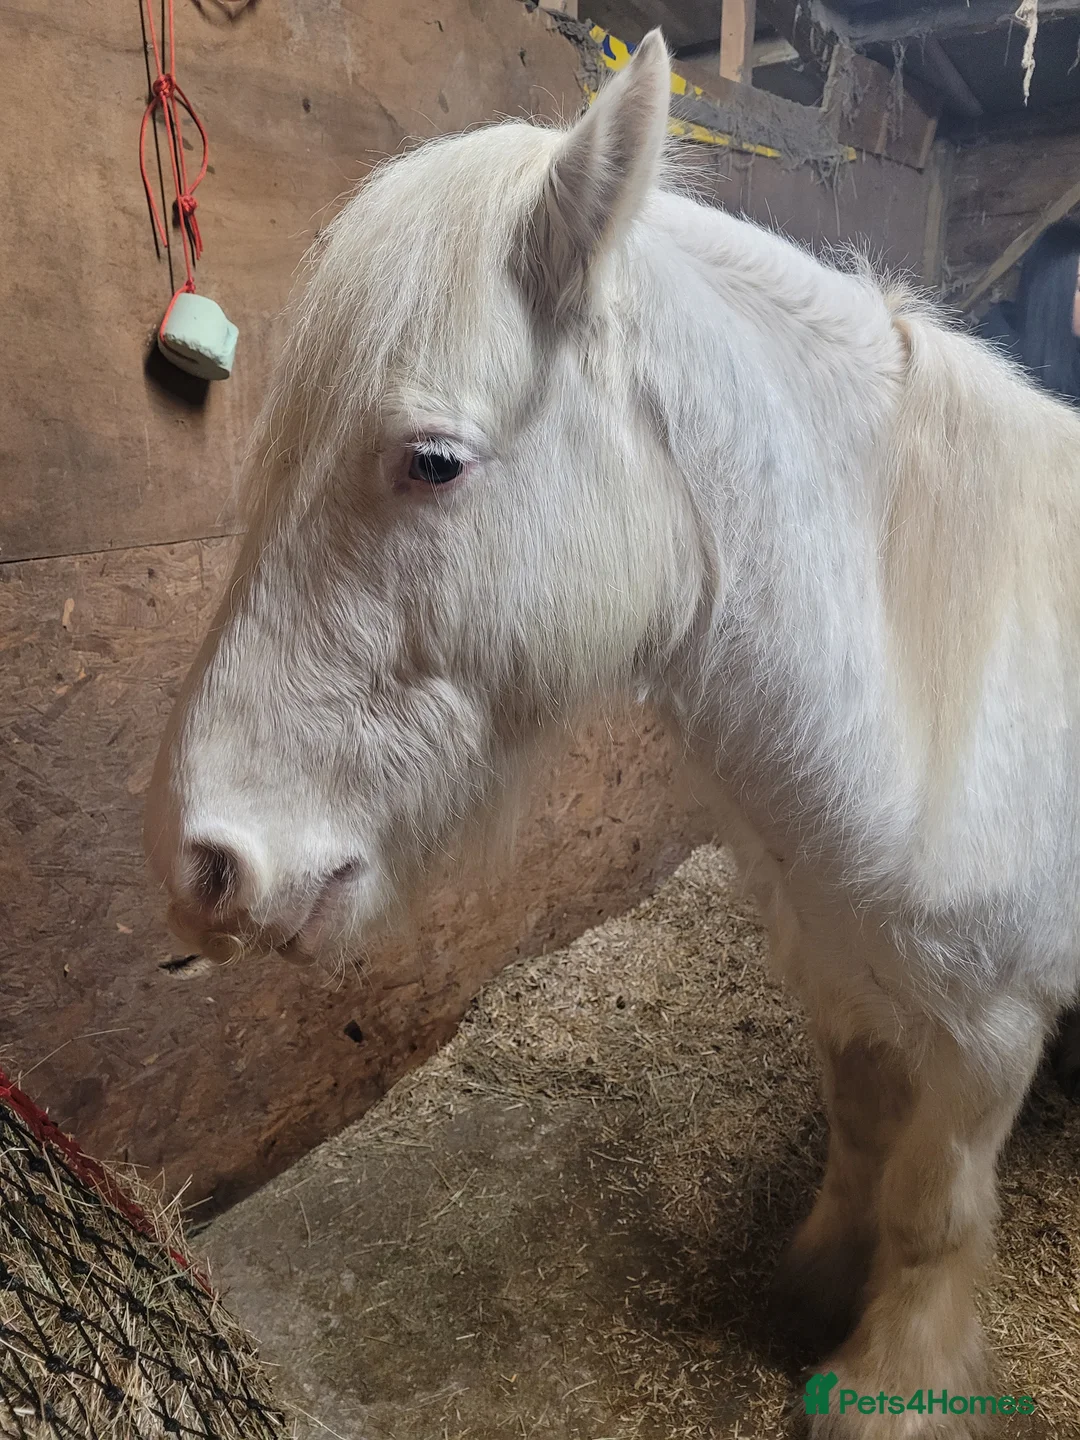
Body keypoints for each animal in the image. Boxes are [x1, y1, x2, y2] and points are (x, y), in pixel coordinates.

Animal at [145, 33, 1080, 1436]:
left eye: (432, 460)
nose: (206, 864)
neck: (935, 690)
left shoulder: (988, 1034)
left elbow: (933, 1209)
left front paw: (889, 1383)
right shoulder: (838, 970)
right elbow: (863, 1136)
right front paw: (814, 1286)